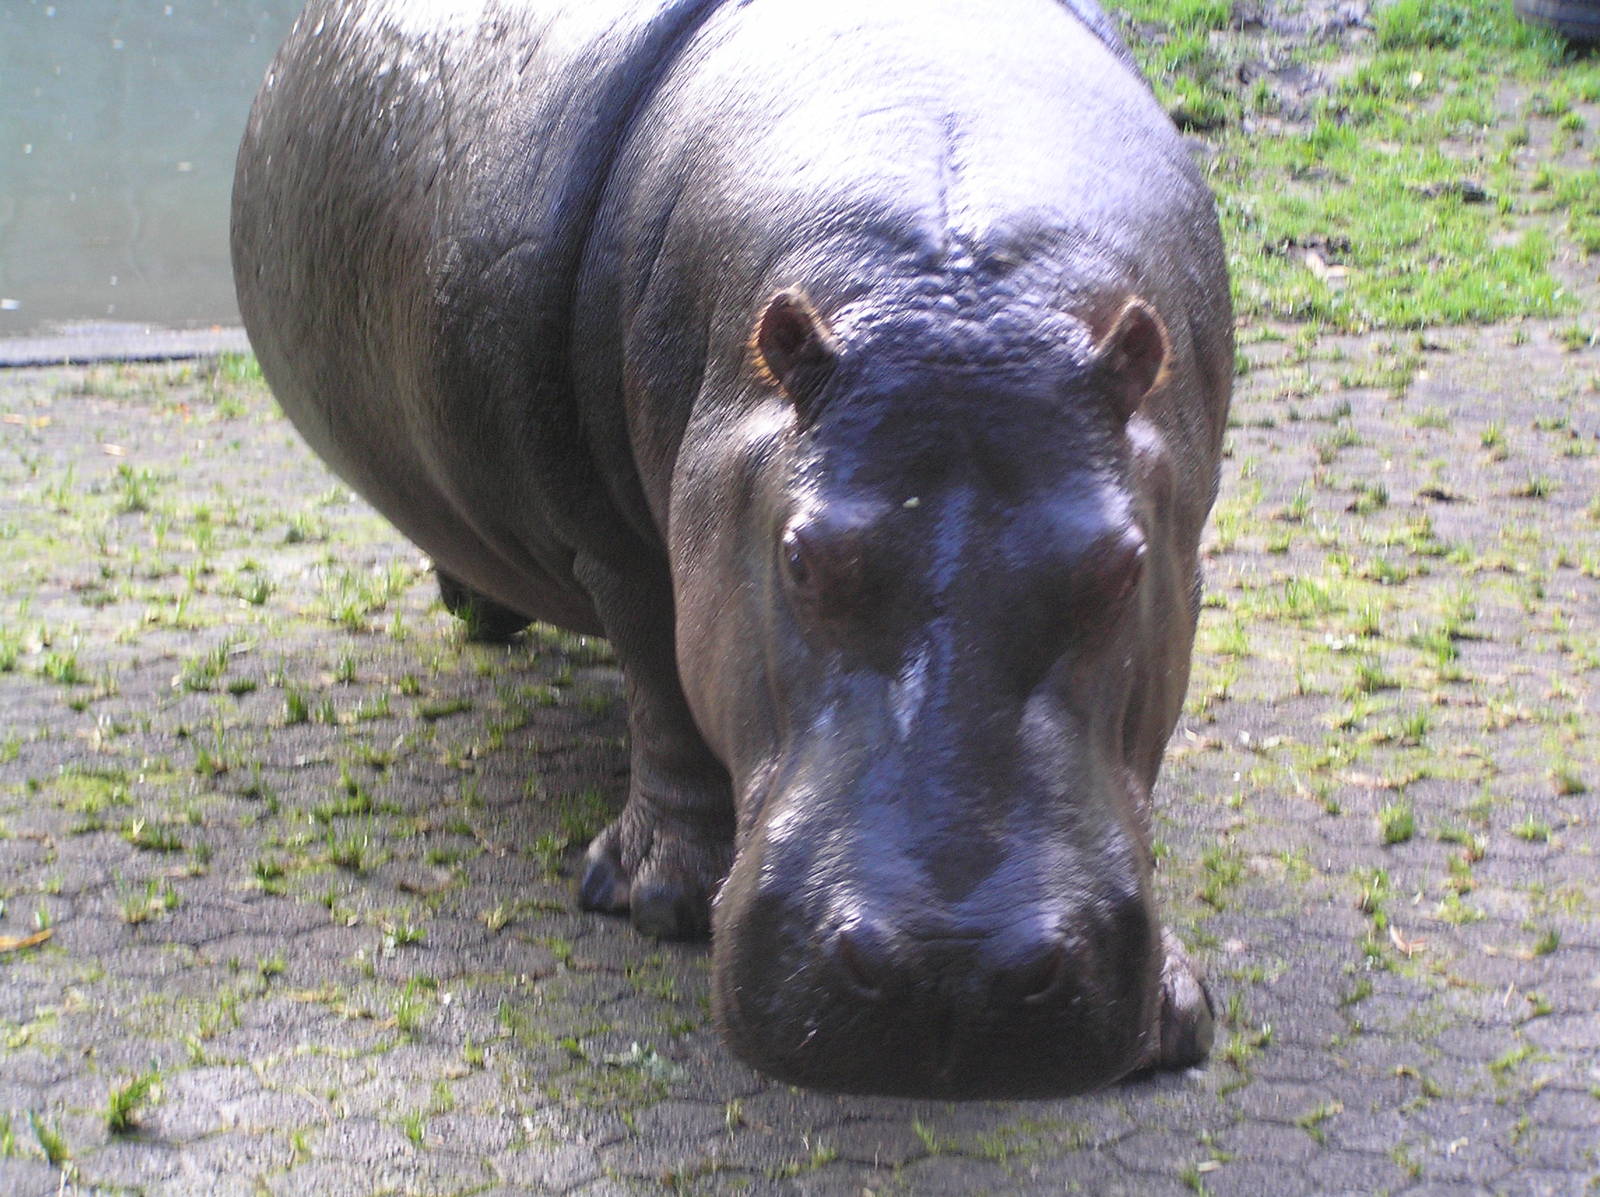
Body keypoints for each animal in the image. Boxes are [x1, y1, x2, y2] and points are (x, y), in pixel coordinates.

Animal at [232, 0, 1232, 1098]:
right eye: (800, 557)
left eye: (1123, 563)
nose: (952, 968)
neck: (955, 287)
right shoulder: (622, 545)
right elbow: (662, 685)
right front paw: (661, 899)